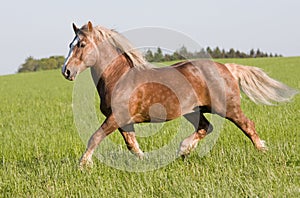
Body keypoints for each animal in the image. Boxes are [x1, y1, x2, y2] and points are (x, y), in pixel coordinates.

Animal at [61, 21, 298, 167]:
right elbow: (132, 144)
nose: (66, 71)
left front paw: (83, 165)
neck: (119, 77)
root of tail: (227, 68)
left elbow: (95, 137)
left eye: (81, 44)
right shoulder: (123, 120)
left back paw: (262, 150)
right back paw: (183, 151)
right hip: (193, 110)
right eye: (70, 44)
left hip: (227, 107)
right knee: (206, 127)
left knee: (248, 125)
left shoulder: (116, 117)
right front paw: (145, 161)